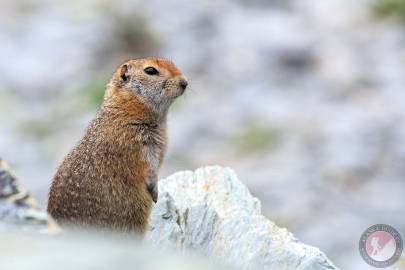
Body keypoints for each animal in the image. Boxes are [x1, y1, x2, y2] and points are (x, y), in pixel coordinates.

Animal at [47, 57, 188, 234]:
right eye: (150, 70)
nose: (185, 82)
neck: (126, 110)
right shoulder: (136, 146)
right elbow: (147, 169)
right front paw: (155, 194)